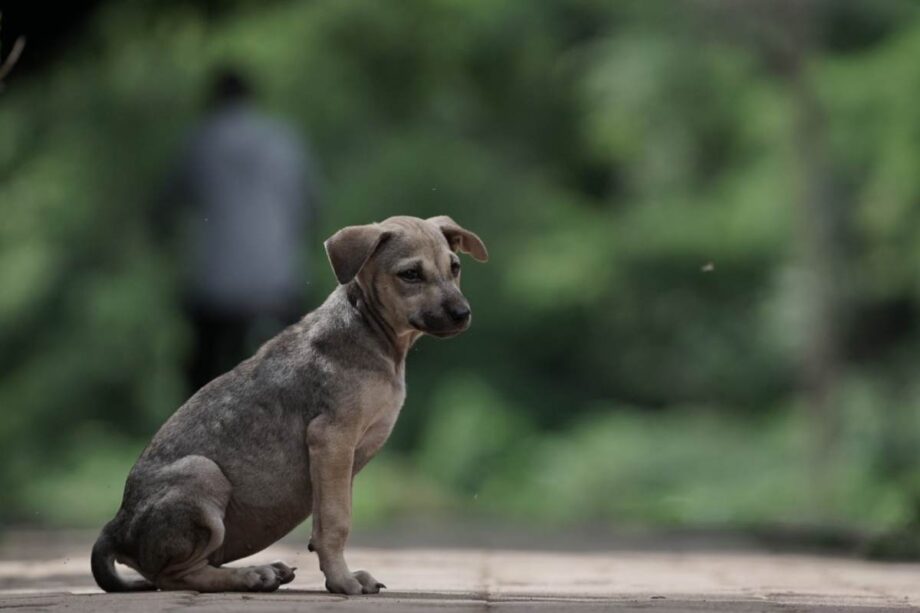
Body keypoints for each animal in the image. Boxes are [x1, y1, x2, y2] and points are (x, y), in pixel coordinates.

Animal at [89, 215, 486, 592]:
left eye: (455, 267)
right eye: (410, 274)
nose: (463, 313)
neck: (370, 329)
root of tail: (115, 526)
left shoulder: (343, 460)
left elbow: (326, 519)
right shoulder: (331, 438)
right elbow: (337, 522)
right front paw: (342, 581)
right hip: (203, 473)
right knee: (175, 576)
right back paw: (252, 575)